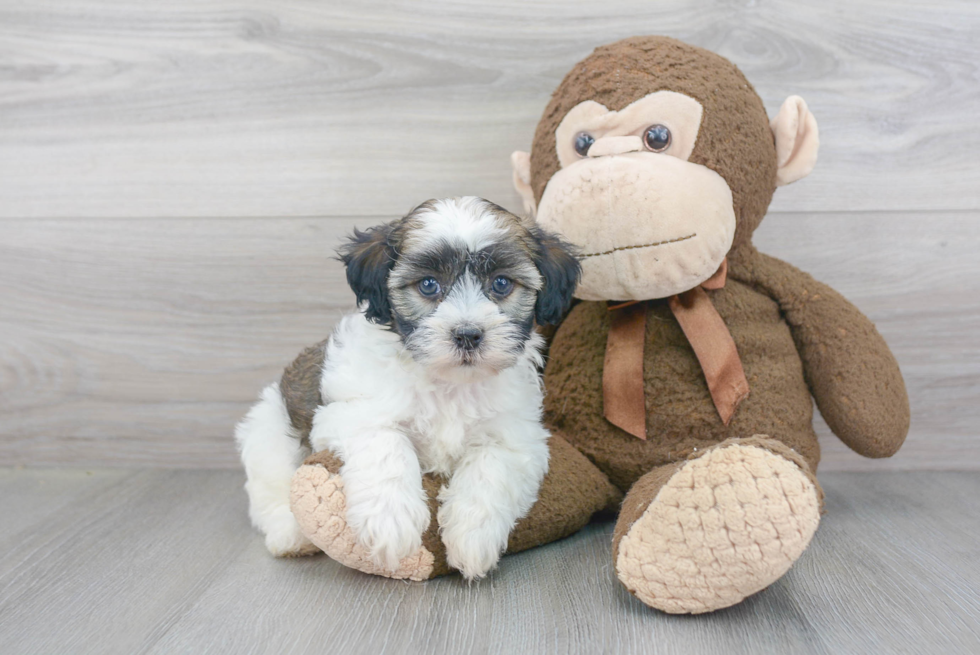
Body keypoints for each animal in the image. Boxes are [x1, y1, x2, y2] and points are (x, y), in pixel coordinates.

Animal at [233, 196, 580, 580]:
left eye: (502, 283)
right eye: (428, 285)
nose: (468, 334)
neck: (449, 383)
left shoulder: (517, 437)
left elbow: (491, 467)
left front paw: (473, 536)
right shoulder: (352, 413)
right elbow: (386, 443)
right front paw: (390, 521)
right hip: (270, 430)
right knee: (272, 485)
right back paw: (290, 535)